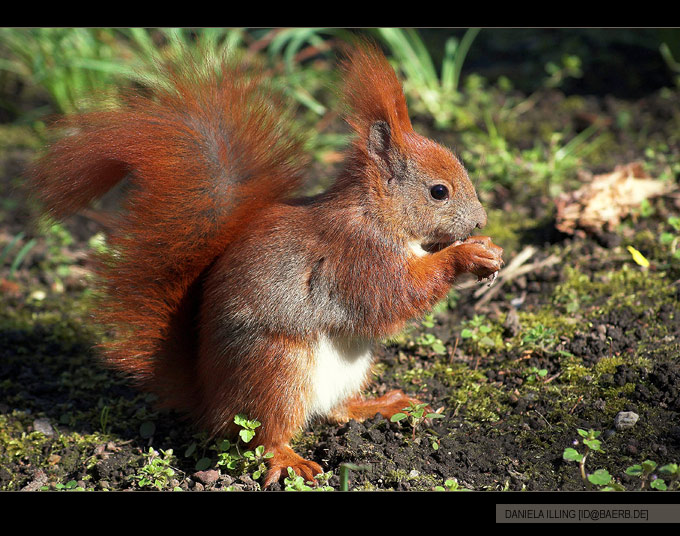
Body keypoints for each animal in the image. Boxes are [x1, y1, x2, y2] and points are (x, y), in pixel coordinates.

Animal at [29, 40, 502, 486]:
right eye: (438, 192)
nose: (481, 220)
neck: (377, 212)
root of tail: (208, 396)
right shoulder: (358, 255)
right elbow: (396, 296)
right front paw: (467, 254)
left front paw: (486, 249)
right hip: (278, 369)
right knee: (262, 435)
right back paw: (290, 460)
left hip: (350, 367)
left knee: (336, 410)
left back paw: (380, 405)